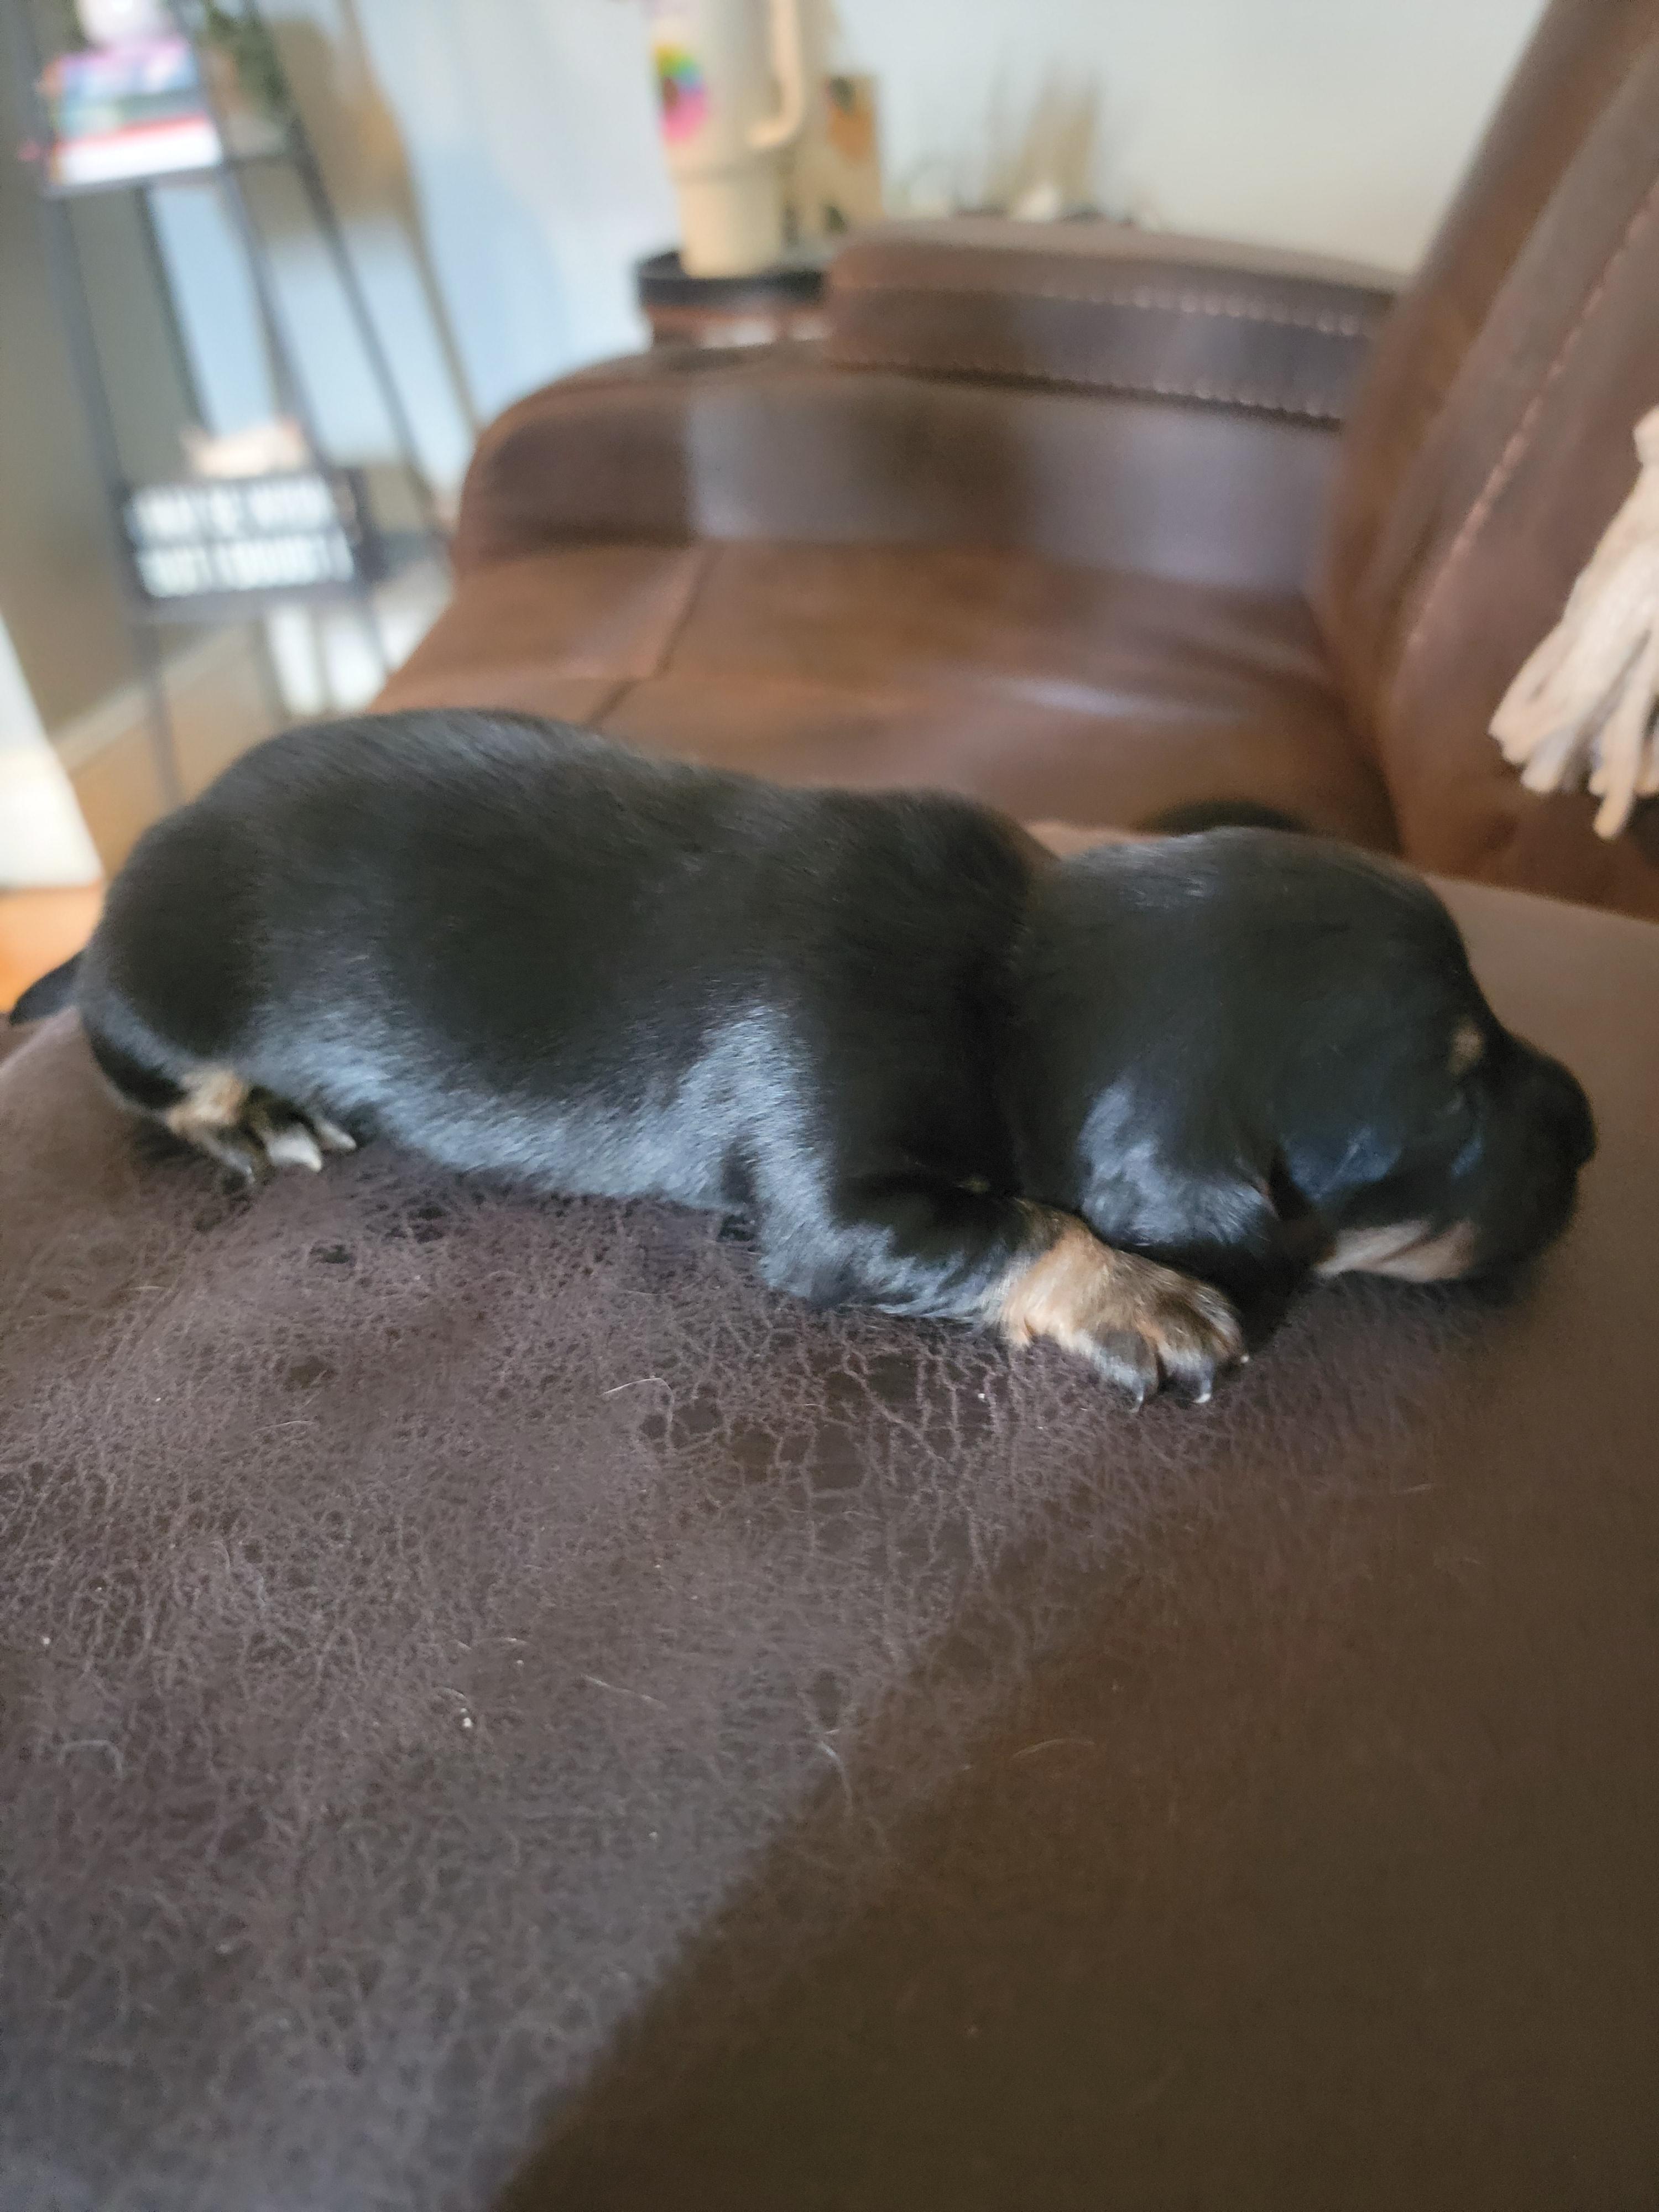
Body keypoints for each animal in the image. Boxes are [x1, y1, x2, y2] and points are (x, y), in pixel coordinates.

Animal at [19, 710, 1595, 1403]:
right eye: (1455, 1097)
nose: (1591, 1125)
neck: (1018, 973)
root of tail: (120, 892)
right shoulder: (834, 1199)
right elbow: (1022, 1222)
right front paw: (1138, 1295)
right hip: (165, 1008)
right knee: (163, 1086)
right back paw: (258, 1119)